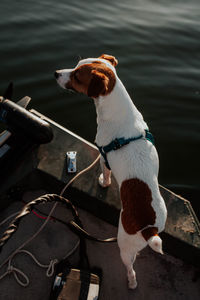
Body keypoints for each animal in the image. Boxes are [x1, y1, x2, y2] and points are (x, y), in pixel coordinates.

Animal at [54, 55, 167, 290]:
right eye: (76, 66)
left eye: (77, 76)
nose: (56, 73)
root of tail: (149, 229)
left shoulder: (103, 155)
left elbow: (105, 174)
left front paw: (103, 183)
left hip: (124, 244)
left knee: (130, 267)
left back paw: (131, 282)